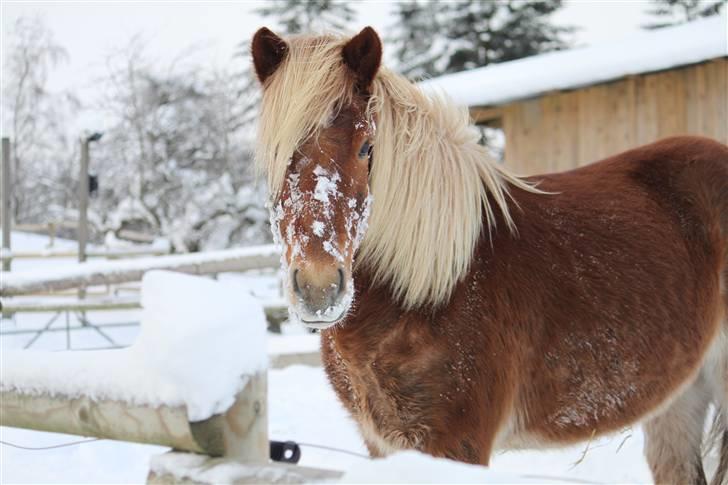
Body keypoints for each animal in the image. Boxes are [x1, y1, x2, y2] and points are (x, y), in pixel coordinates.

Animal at [252, 27, 728, 484]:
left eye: (367, 148)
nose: (318, 288)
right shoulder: (383, 445)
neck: (433, 288)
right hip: (678, 395)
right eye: (272, 155)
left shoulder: (459, 445)